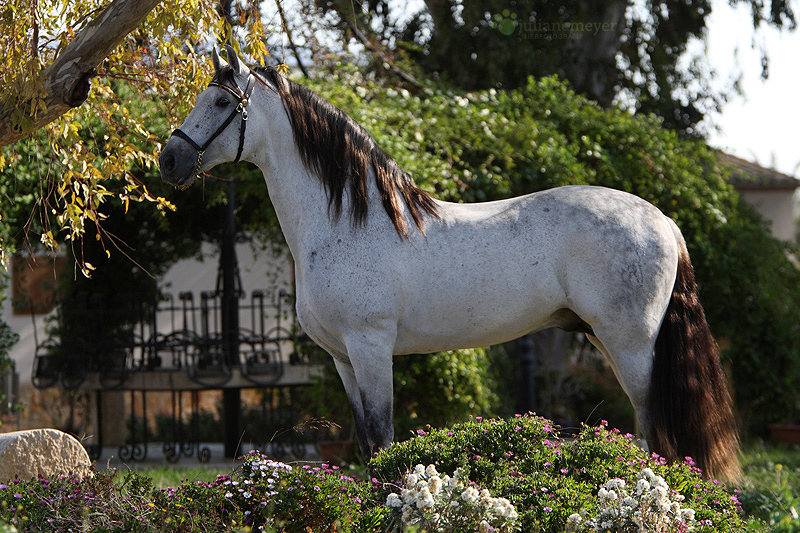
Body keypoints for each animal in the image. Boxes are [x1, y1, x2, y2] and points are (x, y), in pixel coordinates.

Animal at [159, 44, 740, 478]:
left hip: (632, 344)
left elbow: (382, 439)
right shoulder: (343, 358)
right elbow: (365, 441)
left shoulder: (371, 347)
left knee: (654, 429)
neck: (347, 218)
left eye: (220, 104)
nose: (170, 160)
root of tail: (662, 220)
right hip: (608, 339)